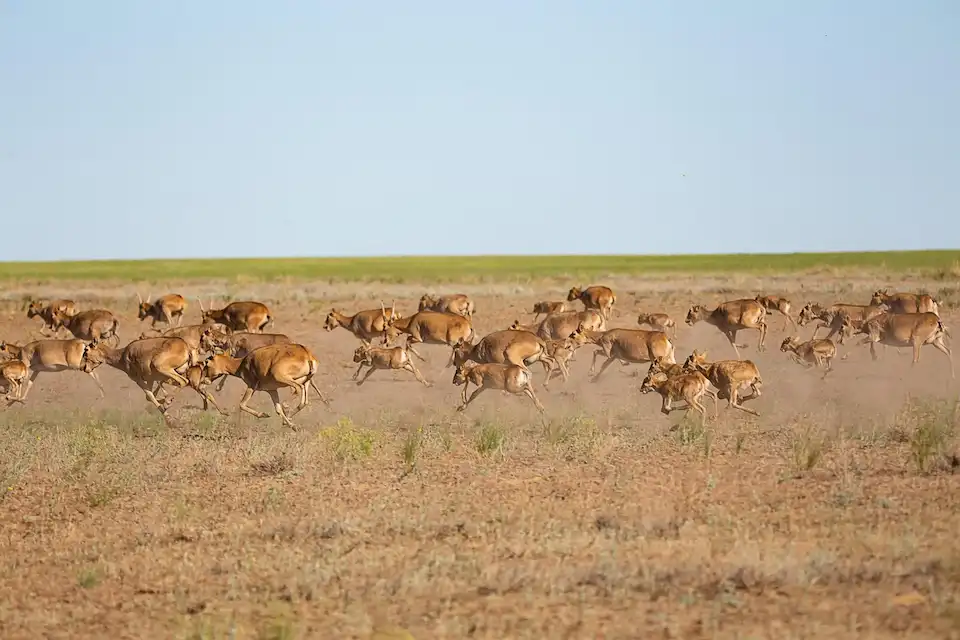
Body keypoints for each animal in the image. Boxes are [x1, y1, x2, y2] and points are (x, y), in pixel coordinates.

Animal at [195, 343, 331, 428]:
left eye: (206, 363)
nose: (202, 381)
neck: (243, 363)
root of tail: (306, 354)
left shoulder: (251, 386)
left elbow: (242, 404)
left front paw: (263, 415)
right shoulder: (272, 390)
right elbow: (277, 409)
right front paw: (292, 426)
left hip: (287, 378)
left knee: (297, 389)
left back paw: (287, 407)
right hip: (306, 381)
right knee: (304, 401)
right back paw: (288, 419)